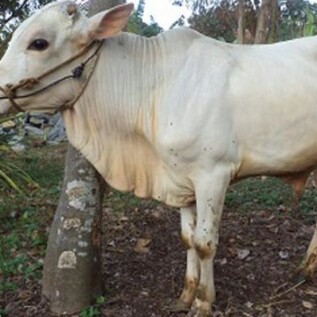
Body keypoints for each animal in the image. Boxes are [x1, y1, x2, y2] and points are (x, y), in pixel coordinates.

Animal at [0, 1, 316, 314]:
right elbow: (188, 239)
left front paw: (203, 301)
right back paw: (306, 269)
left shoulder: (213, 175)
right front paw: (186, 294)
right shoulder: (181, 177)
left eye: (39, 43)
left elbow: (205, 243)